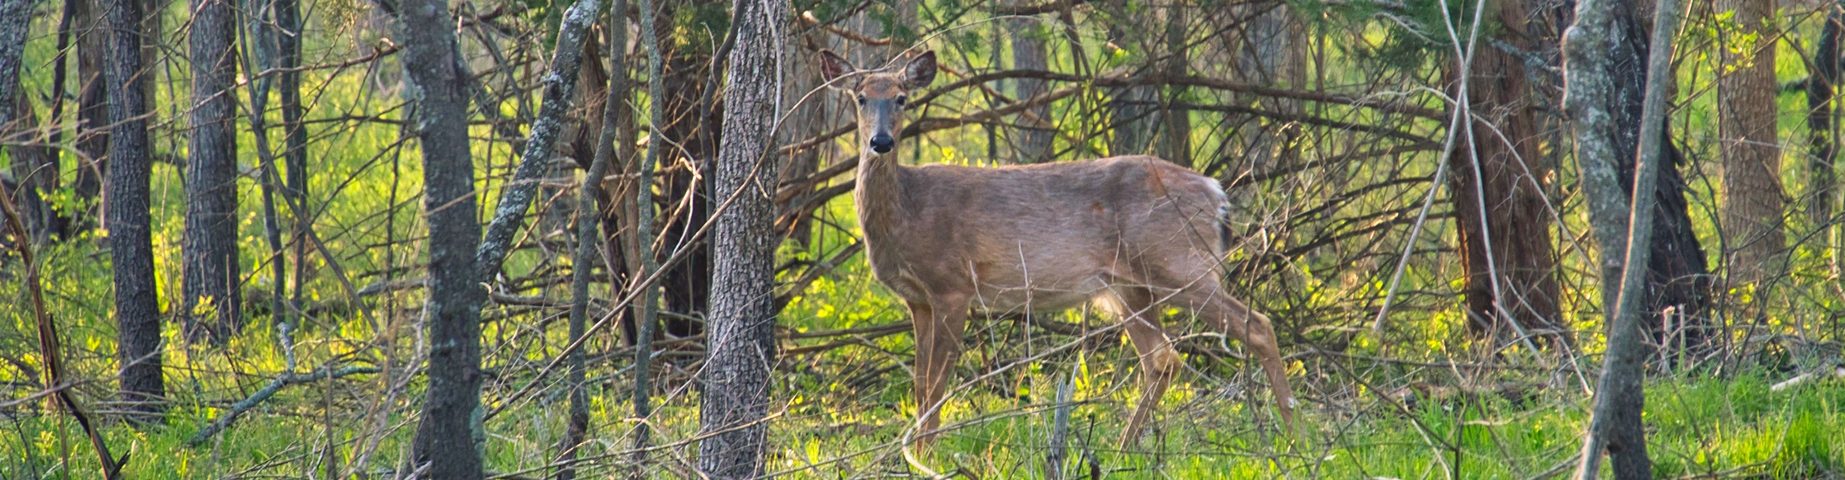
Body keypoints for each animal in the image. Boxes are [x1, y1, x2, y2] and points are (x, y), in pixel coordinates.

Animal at [817, 49, 1296, 446]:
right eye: (860, 97)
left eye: (901, 98)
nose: (881, 141)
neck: (908, 212)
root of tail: (1217, 193)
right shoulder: (917, 299)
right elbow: (919, 385)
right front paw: (912, 454)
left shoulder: (953, 285)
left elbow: (936, 386)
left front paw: (925, 456)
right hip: (1131, 285)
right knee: (1163, 359)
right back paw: (1123, 448)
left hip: (1180, 264)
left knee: (1257, 325)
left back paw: (1295, 437)